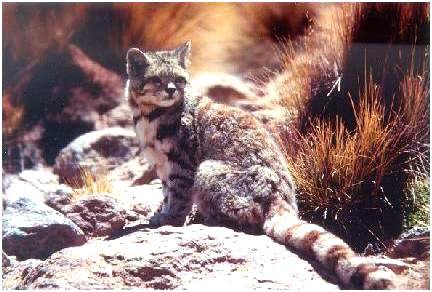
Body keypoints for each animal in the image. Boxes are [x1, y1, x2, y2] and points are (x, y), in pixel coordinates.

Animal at [123, 41, 396, 290]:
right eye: (157, 79)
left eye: (179, 79)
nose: (171, 91)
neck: (149, 116)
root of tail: (282, 201)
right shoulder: (162, 165)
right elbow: (166, 192)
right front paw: (161, 211)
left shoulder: (182, 161)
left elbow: (178, 196)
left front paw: (171, 219)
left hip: (208, 171)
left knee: (247, 215)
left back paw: (209, 217)